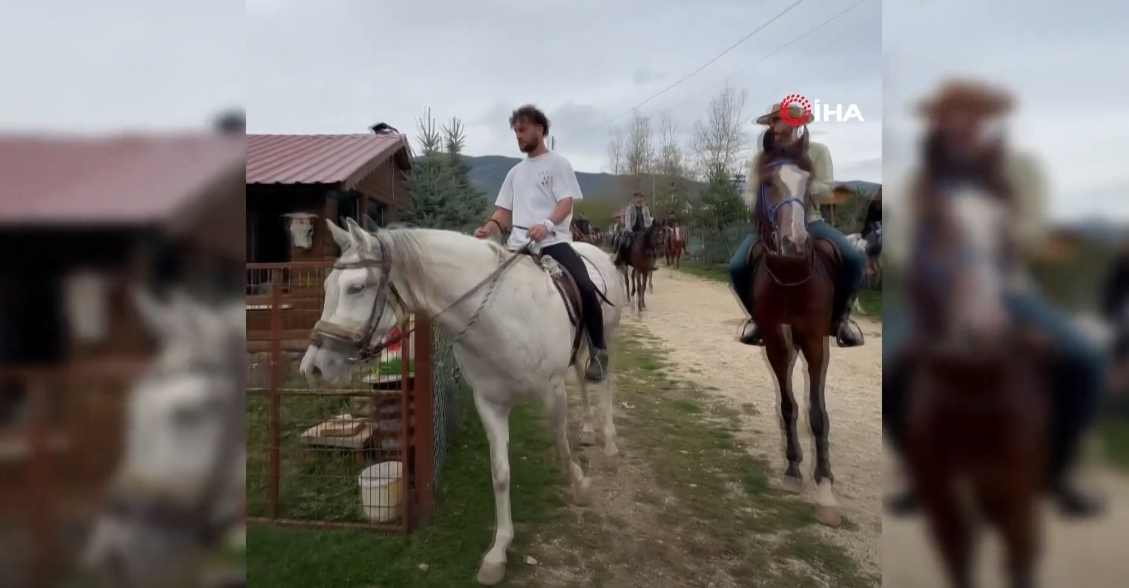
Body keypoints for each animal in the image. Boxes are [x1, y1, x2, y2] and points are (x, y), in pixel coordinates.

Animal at [300, 217, 627, 582]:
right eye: (328, 285)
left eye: (356, 288)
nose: (312, 368)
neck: (503, 317)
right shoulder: (490, 403)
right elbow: (500, 474)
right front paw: (498, 553)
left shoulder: (553, 392)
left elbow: (560, 447)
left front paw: (581, 487)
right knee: (584, 382)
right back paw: (588, 430)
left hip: (608, 339)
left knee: (604, 383)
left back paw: (609, 444)